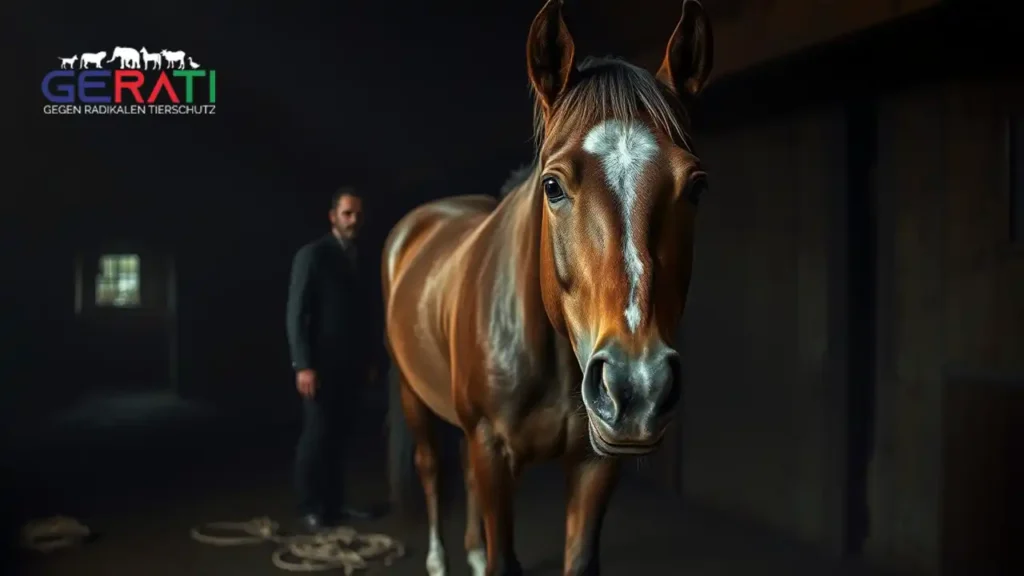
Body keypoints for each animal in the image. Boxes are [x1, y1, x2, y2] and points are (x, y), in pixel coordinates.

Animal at [382, 1, 713, 574]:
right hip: (412, 394)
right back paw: (439, 558)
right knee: (430, 467)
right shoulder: (493, 450)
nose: (638, 385)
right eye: (552, 186)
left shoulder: (594, 464)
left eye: (695, 186)